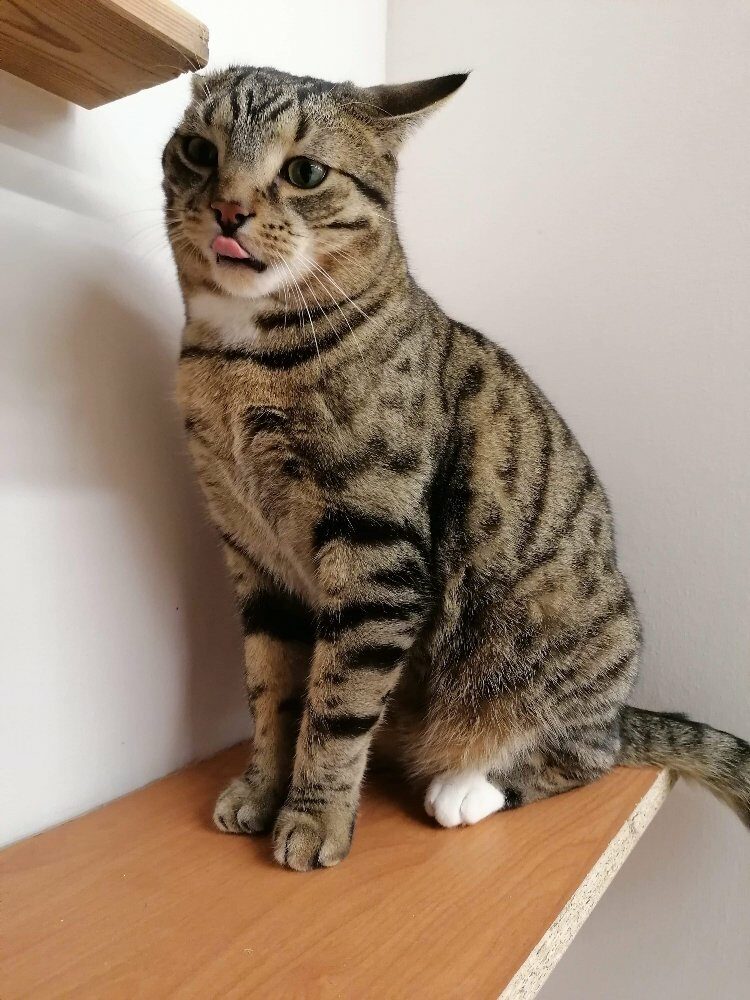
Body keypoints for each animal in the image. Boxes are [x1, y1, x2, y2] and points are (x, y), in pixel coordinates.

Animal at [163, 66, 749, 870]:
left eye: (304, 172)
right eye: (198, 150)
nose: (228, 207)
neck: (240, 361)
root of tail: (627, 706)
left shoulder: (377, 554)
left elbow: (336, 707)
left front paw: (315, 818)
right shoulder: (253, 553)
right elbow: (272, 692)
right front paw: (260, 786)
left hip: (549, 635)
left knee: (584, 751)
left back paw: (467, 784)